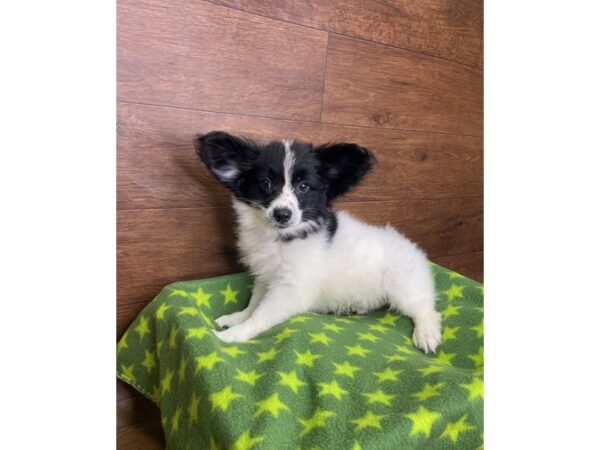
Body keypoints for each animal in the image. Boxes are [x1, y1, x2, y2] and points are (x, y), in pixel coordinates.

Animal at [196, 132, 440, 354]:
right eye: (265, 183)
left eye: (304, 187)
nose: (282, 214)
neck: (283, 238)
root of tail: (413, 248)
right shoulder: (266, 277)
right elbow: (254, 303)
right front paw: (236, 318)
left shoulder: (291, 289)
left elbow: (261, 314)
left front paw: (234, 334)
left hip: (403, 284)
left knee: (425, 309)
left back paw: (426, 334)